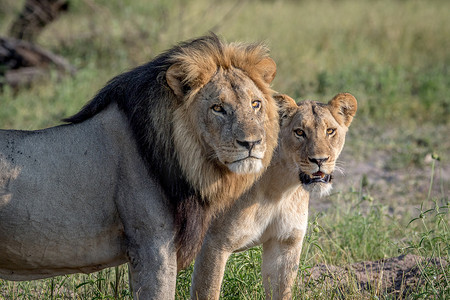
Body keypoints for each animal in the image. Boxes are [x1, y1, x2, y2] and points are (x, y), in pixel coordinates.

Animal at [192, 92, 356, 298]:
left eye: (330, 131)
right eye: (299, 132)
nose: (319, 160)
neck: (279, 190)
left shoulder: (284, 244)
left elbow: (282, 291)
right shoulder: (213, 245)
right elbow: (208, 292)